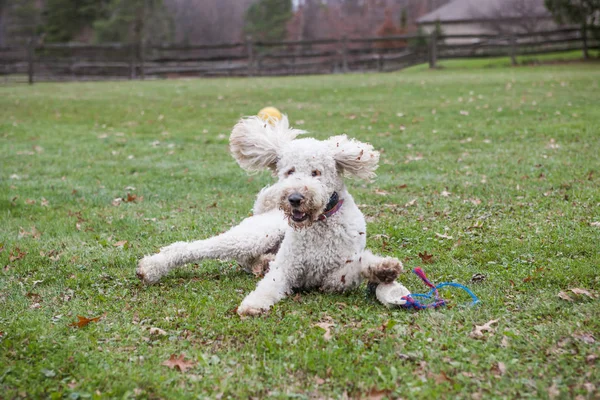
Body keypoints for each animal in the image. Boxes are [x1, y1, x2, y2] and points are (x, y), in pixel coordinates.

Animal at [136, 115, 410, 316]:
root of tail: (266, 211)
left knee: (248, 261)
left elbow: (353, 269)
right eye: (289, 171)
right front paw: (253, 304)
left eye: (316, 172)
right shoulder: (287, 267)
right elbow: (270, 285)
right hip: (254, 236)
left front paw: (383, 269)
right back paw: (153, 267)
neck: (319, 225)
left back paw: (262, 262)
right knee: (195, 248)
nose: (295, 198)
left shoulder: (333, 280)